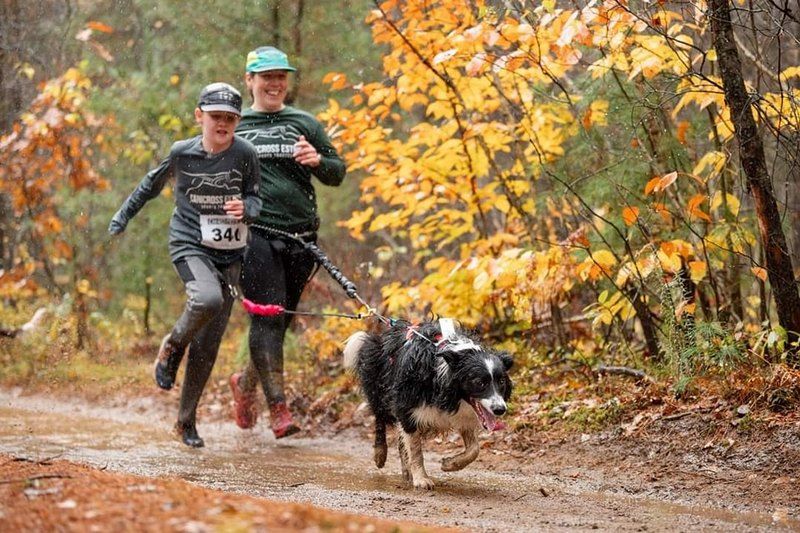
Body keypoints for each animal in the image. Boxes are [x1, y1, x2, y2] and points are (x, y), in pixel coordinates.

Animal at [342, 318, 512, 488]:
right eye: (479, 382)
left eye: (501, 381)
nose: (500, 409)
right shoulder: (406, 404)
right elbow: (415, 449)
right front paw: (421, 479)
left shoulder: (462, 413)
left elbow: (474, 449)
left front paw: (450, 464)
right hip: (379, 384)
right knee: (379, 418)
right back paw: (380, 454)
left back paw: (406, 471)